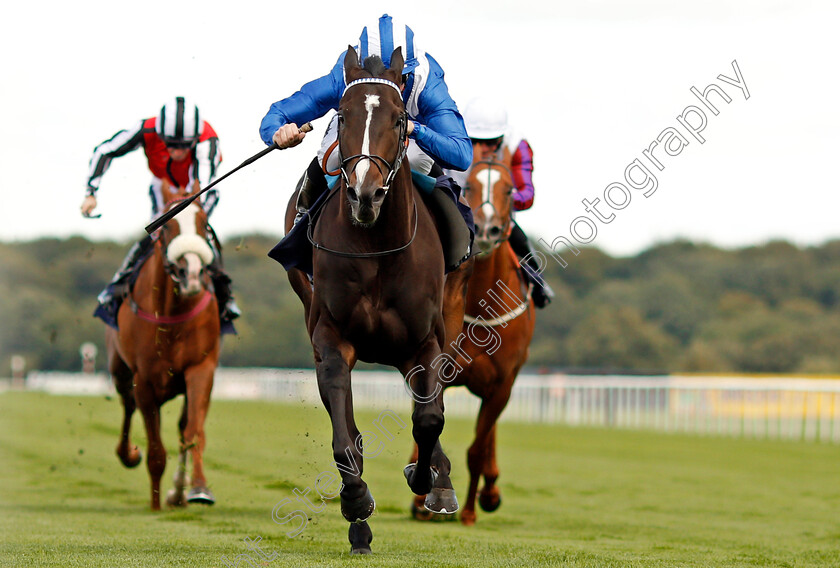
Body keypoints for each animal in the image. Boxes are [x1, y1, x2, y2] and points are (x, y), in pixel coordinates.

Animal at [106, 185, 220, 510]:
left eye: (204, 222)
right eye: (168, 225)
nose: (191, 273)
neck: (172, 312)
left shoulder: (201, 368)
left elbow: (193, 431)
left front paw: (198, 488)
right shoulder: (143, 379)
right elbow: (155, 448)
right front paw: (155, 504)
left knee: (184, 425)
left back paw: (179, 492)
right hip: (120, 370)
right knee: (127, 407)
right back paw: (129, 455)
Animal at [284, 45, 472, 556]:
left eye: (399, 118)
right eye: (341, 114)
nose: (364, 193)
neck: (376, 249)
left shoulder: (424, 341)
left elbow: (428, 418)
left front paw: (428, 480)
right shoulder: (330, 340)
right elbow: (345, 440)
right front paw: (357, 505)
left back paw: (440, 480)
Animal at [408, 150, 540, 524]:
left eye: (509, 190)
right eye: (469, 186)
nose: (485, 229)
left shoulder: (502, 384)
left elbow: (477, 449)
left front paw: (468, 511)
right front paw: (427, 497)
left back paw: (489, 492)